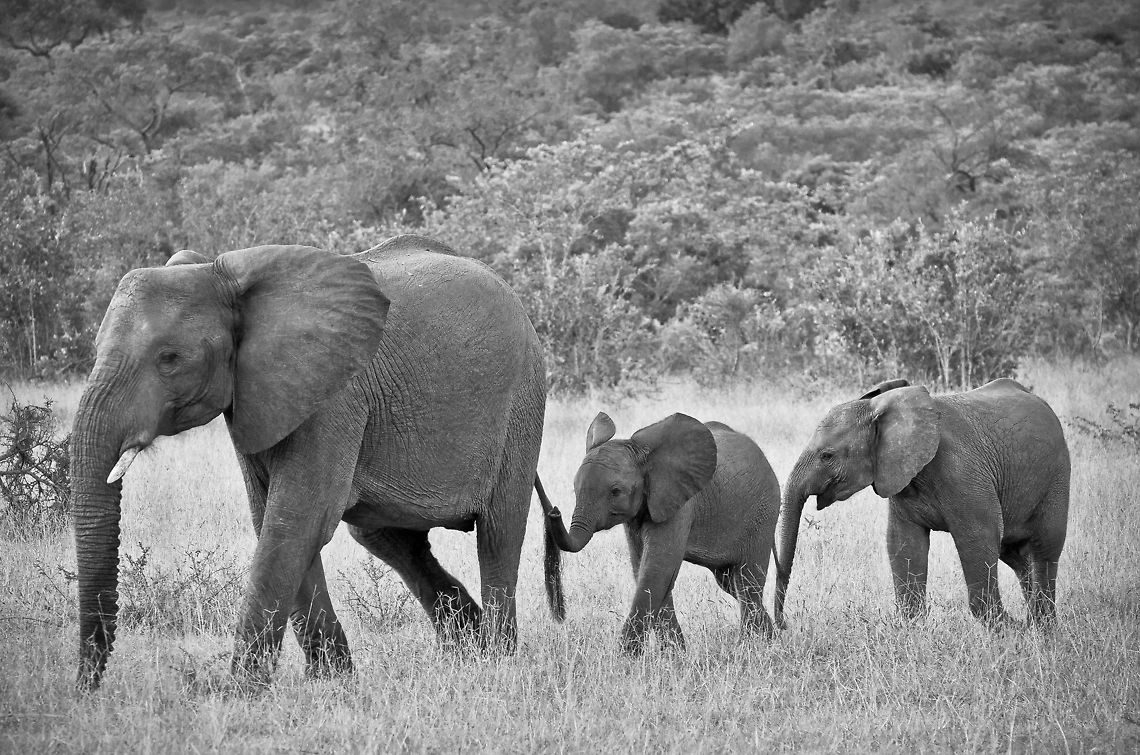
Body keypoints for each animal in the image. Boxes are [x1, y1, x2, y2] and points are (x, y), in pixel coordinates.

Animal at [71, 234, 548, 690]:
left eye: (169, 358)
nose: (86, 690)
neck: (219, 274)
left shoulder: (335, 397)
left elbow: (297, 521)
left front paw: (239, 692)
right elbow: (274, 519)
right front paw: (333, 680)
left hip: (522, 403)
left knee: (499, 534)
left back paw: (496, 658)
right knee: (387, 538)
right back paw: (466, 645)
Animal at [540, 412, 781, 653]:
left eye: (615, 491)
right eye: (575, 489)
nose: (553, 511)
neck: (645, 458)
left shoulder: (679, 504)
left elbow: (657, 569)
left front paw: (627, 658)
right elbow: (645, 569)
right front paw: (675, 655)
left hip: (762, 515)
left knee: (748, 582)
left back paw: (752, 648)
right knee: (731, 583)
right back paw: (772, 639)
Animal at [775, 378, 1070, 629]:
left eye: (827, 455)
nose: (783, 625)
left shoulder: (962, 472)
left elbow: (979, 536)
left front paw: (1008, 629)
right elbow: (904, 543)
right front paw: (913, 628)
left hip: (1057, 476)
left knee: (1043, 550)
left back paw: (1041, 627)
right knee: (1016, 555)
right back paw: (1034, 623)